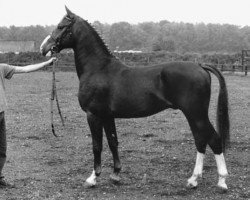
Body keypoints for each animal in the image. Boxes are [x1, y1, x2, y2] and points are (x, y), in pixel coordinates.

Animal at [39, 6, 230, 191]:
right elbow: (113, 142)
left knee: (213, 139)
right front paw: (115, 174)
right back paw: (193, 180)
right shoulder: (107, 116)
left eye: (61, 26)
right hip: (193, 115)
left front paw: (92, 178)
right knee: (201, 140)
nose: (43, 48)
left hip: (196, 114)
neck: (99, 69)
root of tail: (200, 66)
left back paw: (221, 181)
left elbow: (97, 145)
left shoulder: (93, 115)